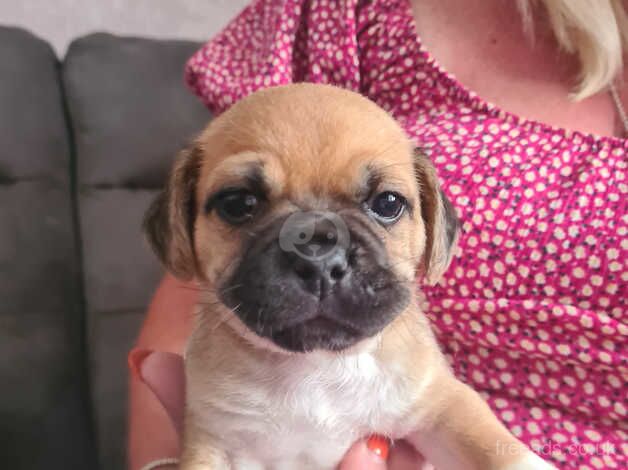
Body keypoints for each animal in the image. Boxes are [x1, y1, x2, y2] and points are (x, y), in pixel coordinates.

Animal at [144, 82, 556, 468]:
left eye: (387, 203)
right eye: (237, 203)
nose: (318, 256)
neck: (315, 367)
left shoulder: (440, 403)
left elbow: (493, 446)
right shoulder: (213, 440)